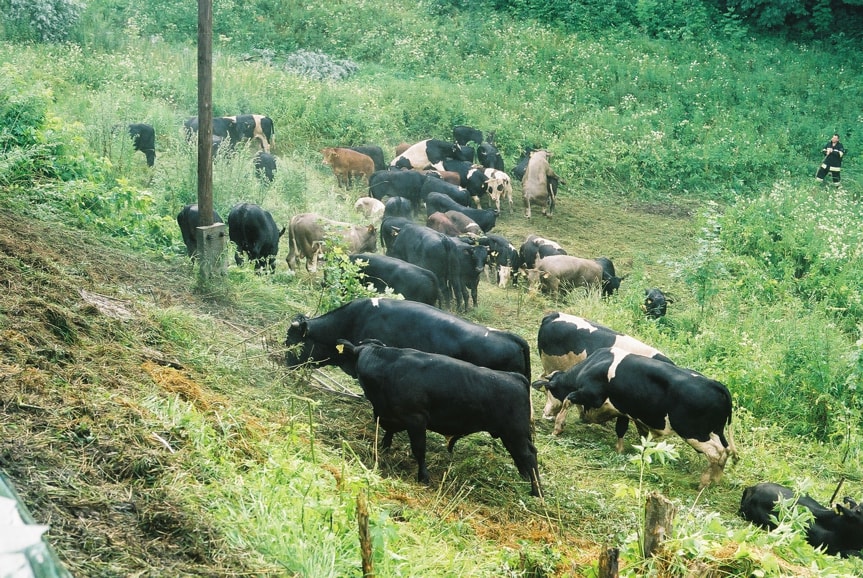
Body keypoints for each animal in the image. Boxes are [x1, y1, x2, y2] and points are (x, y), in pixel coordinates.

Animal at [336, 338, 540, 496]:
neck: (386, 366)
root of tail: (516, 377)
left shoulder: (416, 419)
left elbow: (419, 449)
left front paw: (423, 476)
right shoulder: (390, 415)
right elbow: (389, 433)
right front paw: (384, 448)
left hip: (515, 432)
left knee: (529, 456)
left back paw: (536, 492)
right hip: (513, 435)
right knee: (521, 455)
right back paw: (524, 479)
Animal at [532, 346, 736, 486]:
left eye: (549, 390)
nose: (546, 413)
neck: (593, 365)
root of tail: (716, 384)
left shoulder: (591, 395)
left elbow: (568, 399)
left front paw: (558, 427)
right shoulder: (624, 411)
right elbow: (628, 431)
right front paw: (623, 450)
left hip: (692, 432)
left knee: (716, 452)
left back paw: (704, 481)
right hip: (715, 431)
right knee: (725, 450)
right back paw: (716, 478)